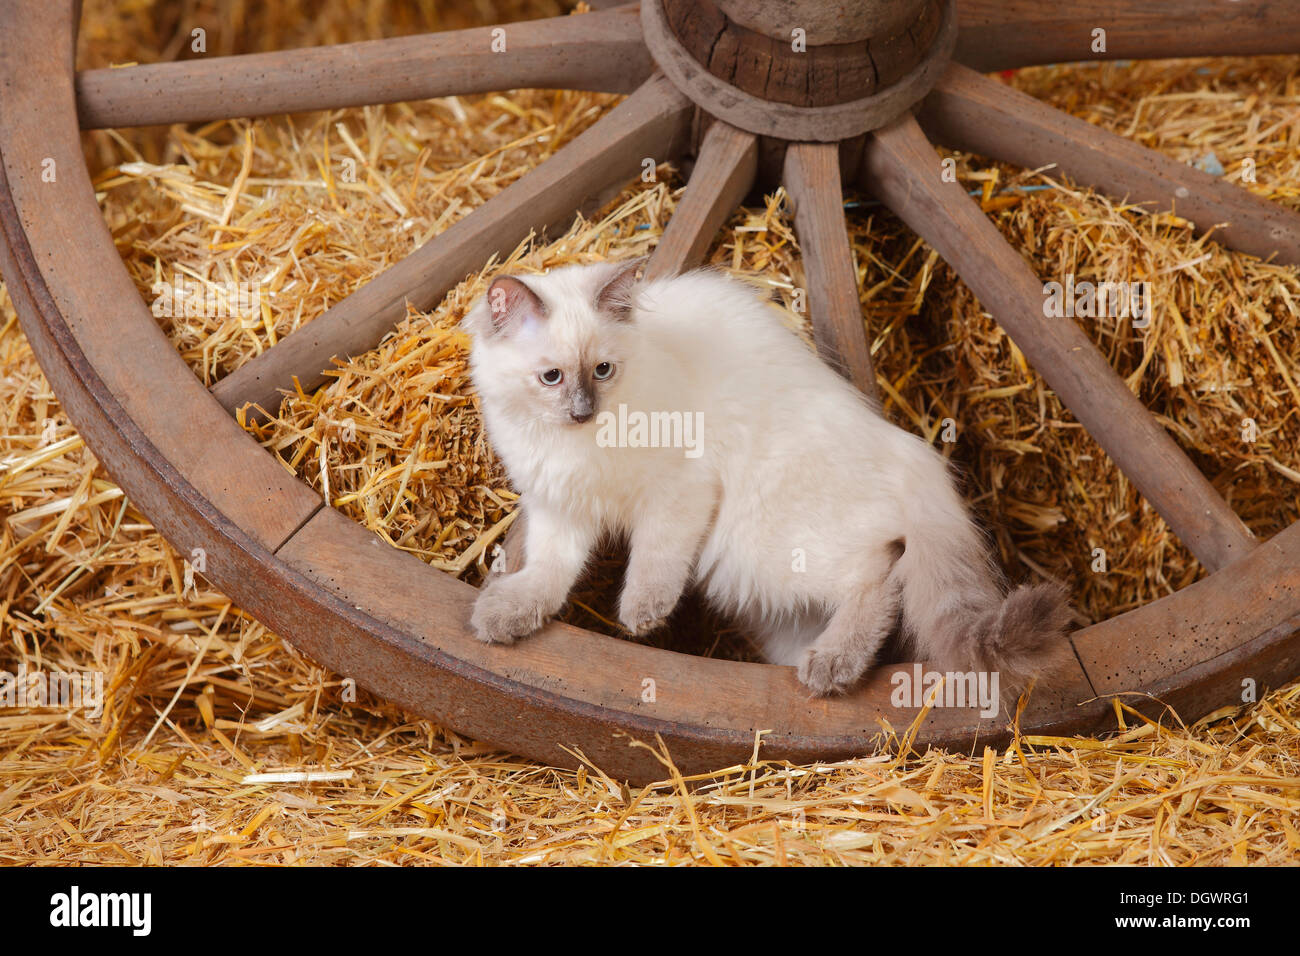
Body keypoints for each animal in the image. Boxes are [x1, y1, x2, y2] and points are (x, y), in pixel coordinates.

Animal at [462, 257, 1071, 697]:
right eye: (552, 377)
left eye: (603, 370)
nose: (582, 410)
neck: (574, 445)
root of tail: (913, 455)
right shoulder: (559, 507)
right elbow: (548, 572)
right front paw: (507, 615)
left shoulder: (678, 490)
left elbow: (654, 561)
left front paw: (641, 615)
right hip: (766, 598)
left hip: (758, 547)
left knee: (882, 573)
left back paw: (833, 667)